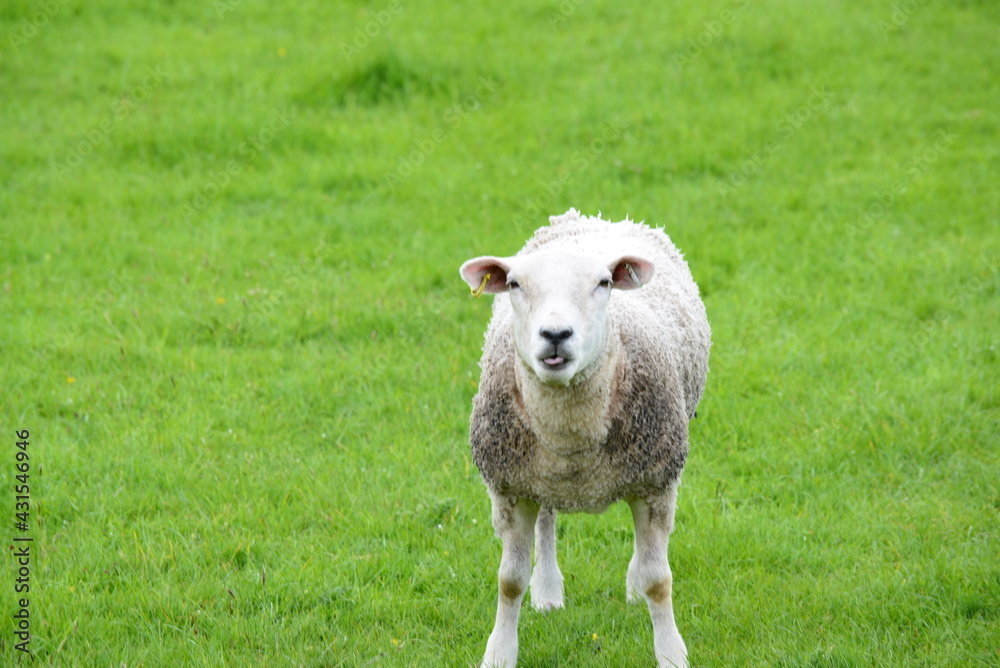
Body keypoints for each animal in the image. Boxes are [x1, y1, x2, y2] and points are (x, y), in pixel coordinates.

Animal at [458, 208, 710, 668]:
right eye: (515, 284)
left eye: (604, 283)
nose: (556, 334)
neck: (571, 435)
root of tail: (595, 217)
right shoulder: (510, 489)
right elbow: (509, 581)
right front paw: (499, 653)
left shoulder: (655, 483)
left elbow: (659, 581)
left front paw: (671, 653)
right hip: (541, 479)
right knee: (547, 520)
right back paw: (547, 590)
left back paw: (630, 584)